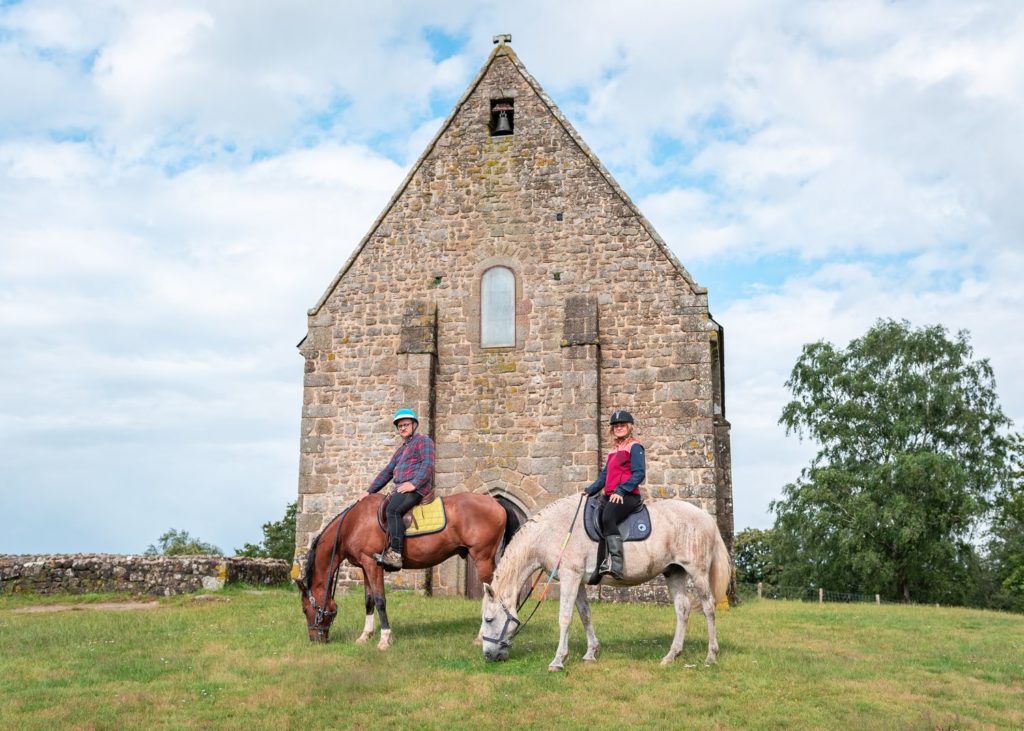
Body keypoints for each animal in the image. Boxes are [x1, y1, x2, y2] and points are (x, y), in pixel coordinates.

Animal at [296, 493, 520, 647]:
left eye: (305, 609)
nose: (315, 639)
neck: (353, 523)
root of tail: (496, 503)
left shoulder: (372, 565)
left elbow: (380, 600)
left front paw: (384, 639)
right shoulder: (365, 566)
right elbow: (369, 601)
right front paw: (365, 636)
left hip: (482, 558)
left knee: (491, 595)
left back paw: (481, 636)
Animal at [477, 493, 729, 667]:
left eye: (489, 619)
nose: (488, 656)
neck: (552, 532)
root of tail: (706, 517)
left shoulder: (570, 577)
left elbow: (565, 618)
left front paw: (558, 660)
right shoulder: (577, 580)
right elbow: (585, 615)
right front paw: (591, 653)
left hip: (697, 572)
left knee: (708, 608)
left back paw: (711, 656)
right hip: (674, 572)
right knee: (682, 609)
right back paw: (671, 655)